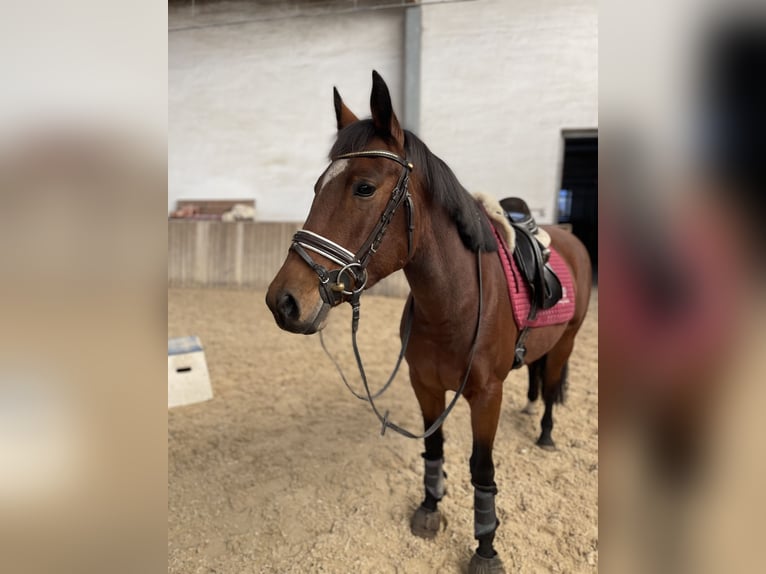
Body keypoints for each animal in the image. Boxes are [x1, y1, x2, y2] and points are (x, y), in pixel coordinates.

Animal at [268, 72, 596, 574]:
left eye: (364, 188)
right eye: (317, 187)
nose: (283, 301)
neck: (454, 306)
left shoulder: (487, 396)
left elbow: (482, 469)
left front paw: (486, 548)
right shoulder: (424, 385)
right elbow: (434, 448)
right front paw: (428, 508)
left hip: (568, 341)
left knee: (553, 382)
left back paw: (544, 433)